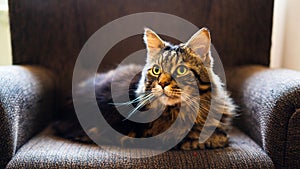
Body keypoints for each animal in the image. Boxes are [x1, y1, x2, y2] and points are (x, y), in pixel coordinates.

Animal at [54, 27, 237, 151]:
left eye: (181, 70)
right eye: (156, 70)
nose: (162, 84)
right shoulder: (157, 137)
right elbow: (202, 139)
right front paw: (215, 138)